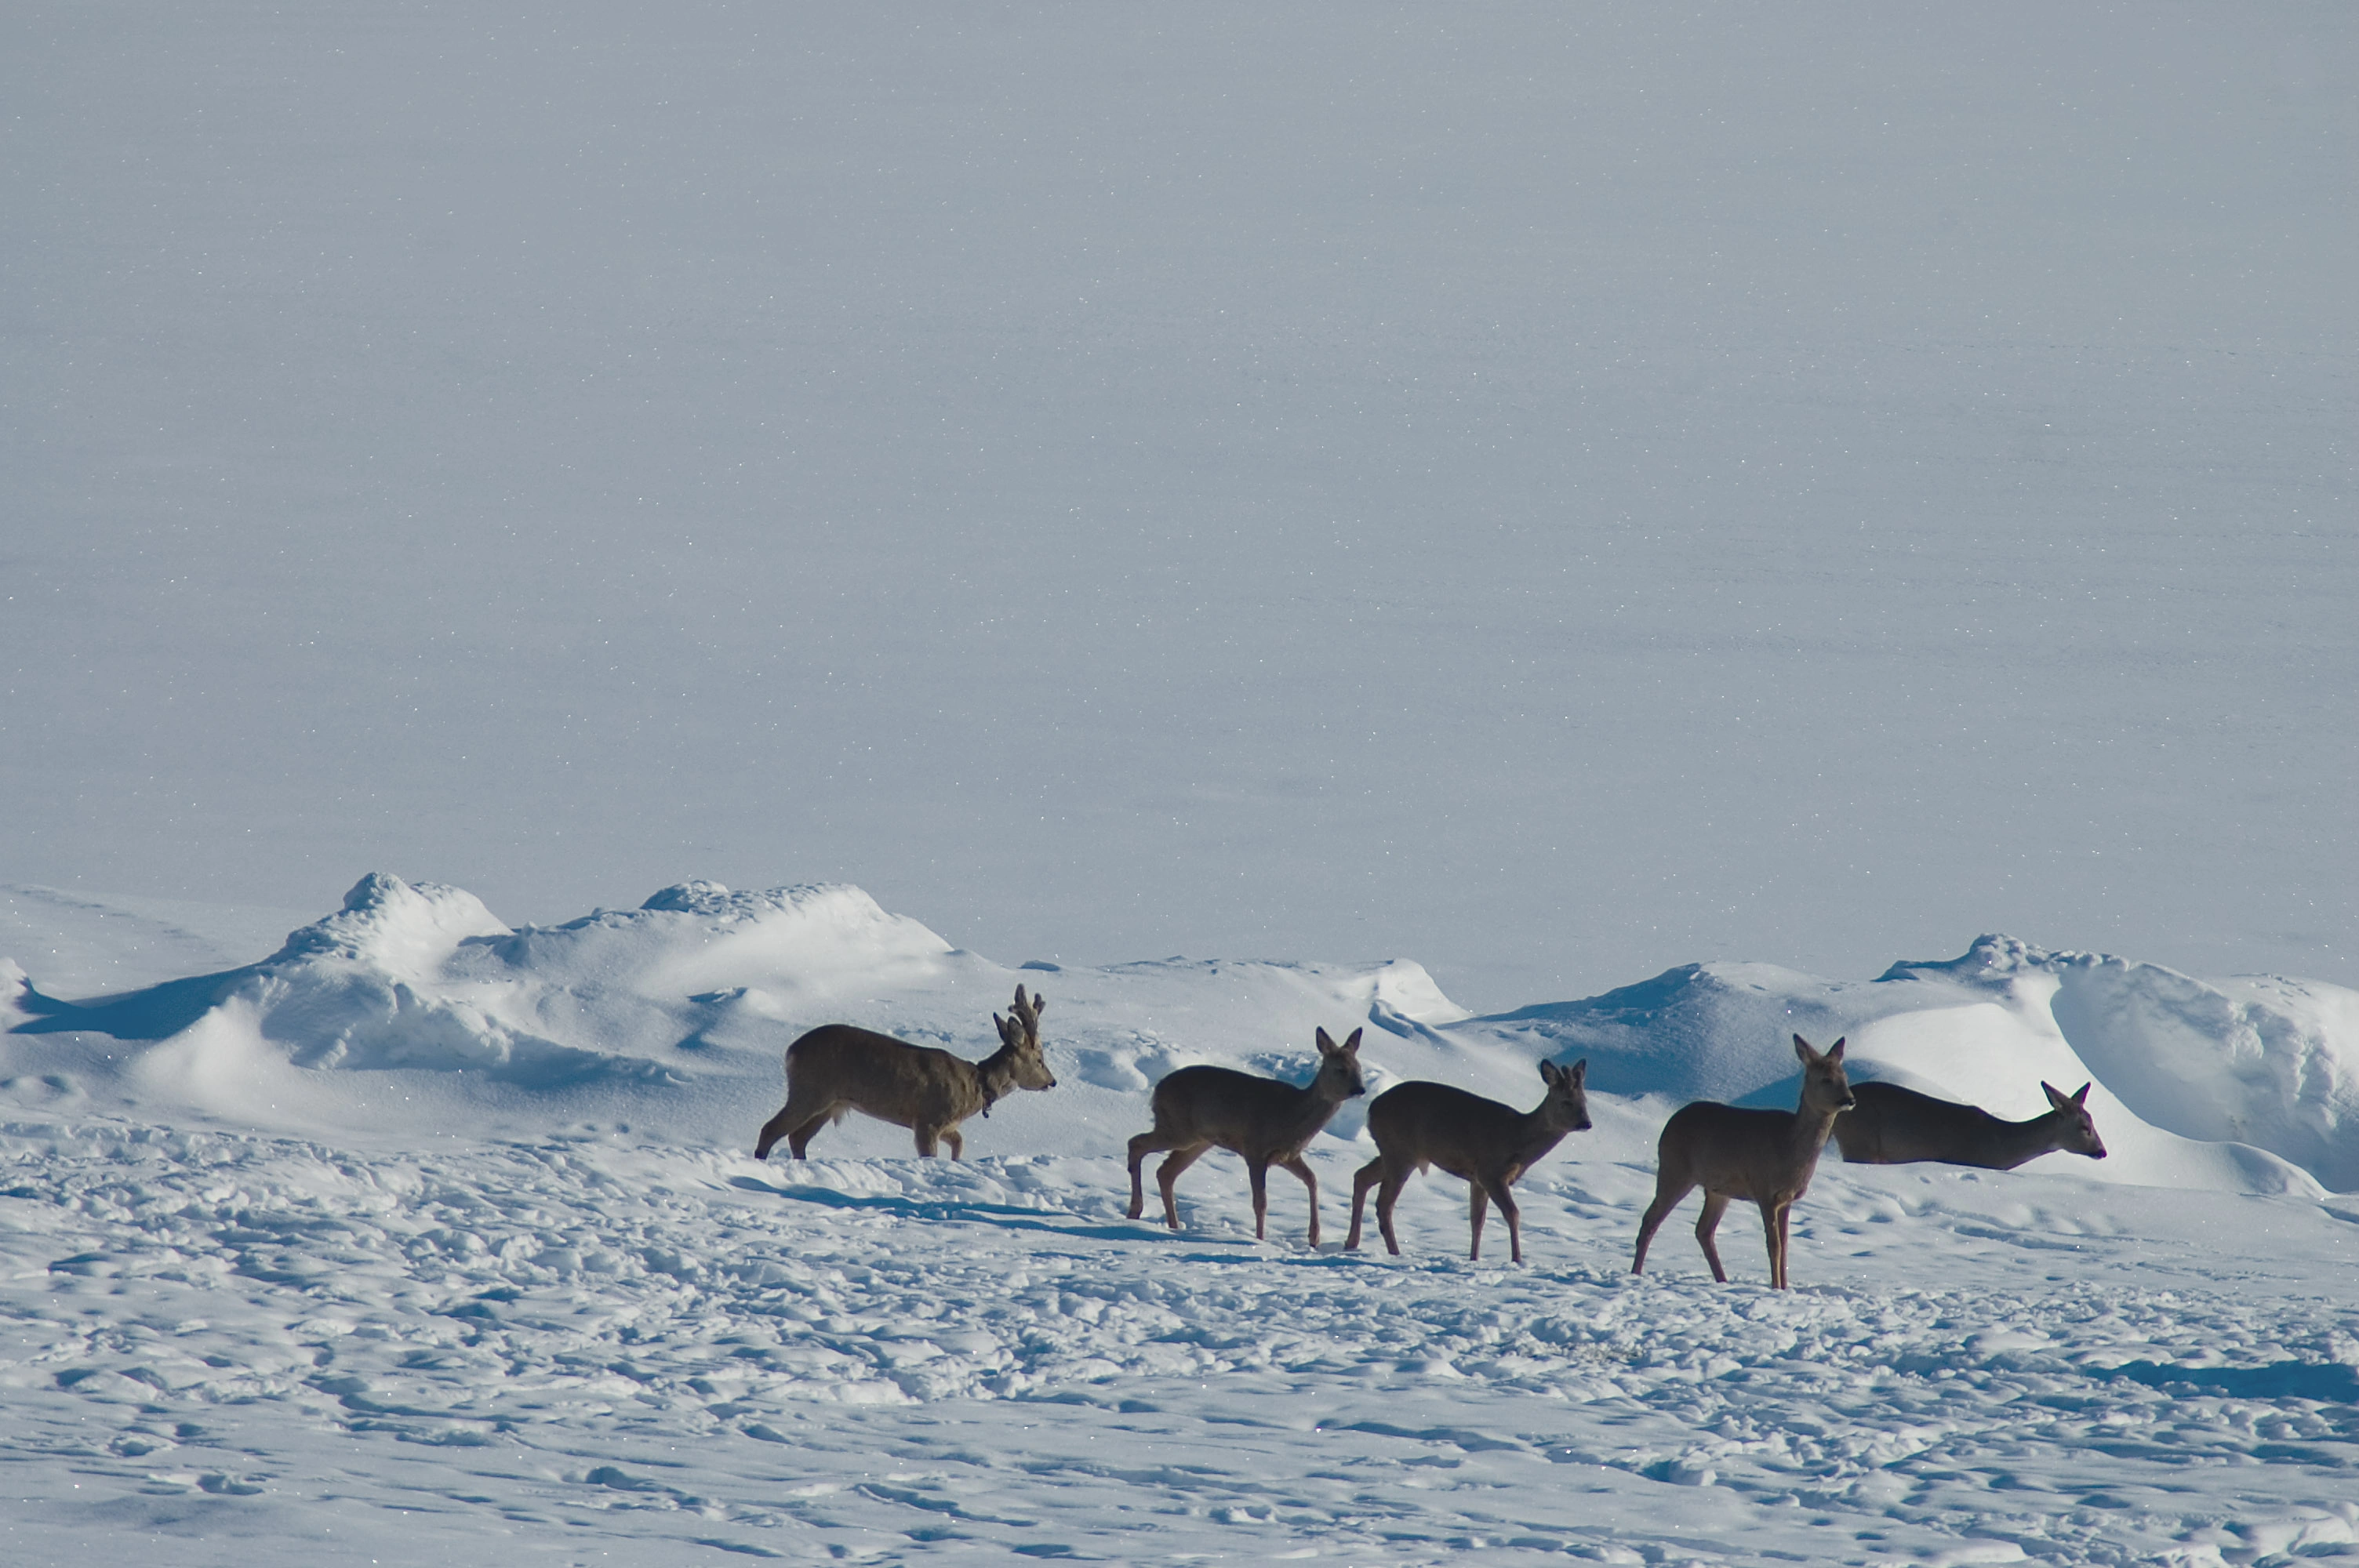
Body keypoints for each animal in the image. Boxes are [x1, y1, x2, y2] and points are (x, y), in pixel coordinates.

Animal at [750, 985, 1056, 1155]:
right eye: (1040, 1059)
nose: (1052, 1082)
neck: (975, 1084)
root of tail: (791, 1050)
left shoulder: (947, 1126)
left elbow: (960, 1144)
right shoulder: (928, 1120)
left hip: (830, 1103)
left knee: (796, 1138)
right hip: (810, 1090)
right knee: (770, 1129)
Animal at [1122, 1028, 1368, 1244]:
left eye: (1359, 1067)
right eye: (1340, 1069)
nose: (1361, 1089)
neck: (1291, 1115)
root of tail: (1157, 1090)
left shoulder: (1288, 1155)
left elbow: (1313, 1180)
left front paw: (1314, 1238)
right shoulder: (1255, 1149)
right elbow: (1261, 1202)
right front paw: (1260, 1240)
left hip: (1198, 1141)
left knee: (1166, 1172)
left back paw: (1173, 1226)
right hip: (1178, 1130)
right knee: (1136, 1143)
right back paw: (1135, 1211)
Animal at [1349, 1051, 1585, 1264]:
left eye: (1584, 1101)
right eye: (1566, 1101)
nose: (1587, 1123)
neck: (1517, 1139)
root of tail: (1371, 1109)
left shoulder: (1477, 1179)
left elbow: (1477, 1220)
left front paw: (1474, 1259)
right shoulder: (1490, 1172)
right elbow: (1513, 1213)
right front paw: (1517, 1260)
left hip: (1393, 1152)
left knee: (1361, 1176)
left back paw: (1352, 1243)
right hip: (1400, 1153)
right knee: (1384, 1203)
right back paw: (1395, 1253)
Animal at [1632, 1028, 1849, 1283]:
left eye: (1845, 1077)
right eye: (1826, 1079)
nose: (1850, 1100)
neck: (1789, 1147)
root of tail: (1669, 1125)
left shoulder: (1787, 1199)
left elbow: (1786, 1246)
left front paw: (1785, 1287)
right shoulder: (1764, 1190)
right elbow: (1774, 1245)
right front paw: (1775, 1286)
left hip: (1717, 1189)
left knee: (1703, 1230)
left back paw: (1723, 1280)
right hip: (1675, 1170)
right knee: (1651, 1220)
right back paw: (1635, 1273)